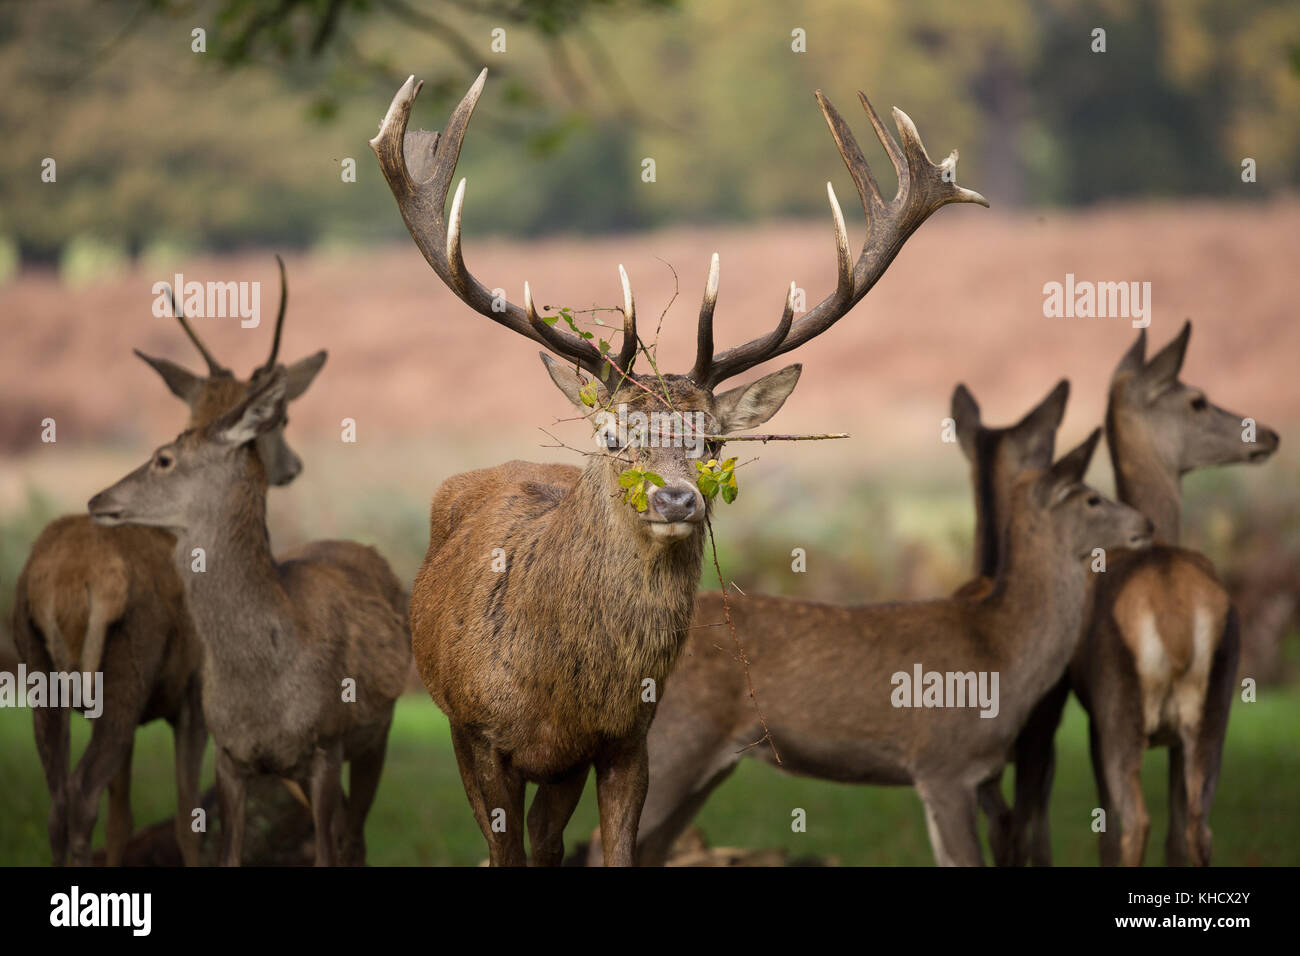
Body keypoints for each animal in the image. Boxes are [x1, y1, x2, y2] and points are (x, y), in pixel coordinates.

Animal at [11, 259, 326, 866]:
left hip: (37, 669)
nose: (294, 466)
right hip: (125, 669)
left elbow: (123, 819)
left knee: (58, 800)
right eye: (283, 418)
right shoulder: (193, 697)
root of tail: (60, 584)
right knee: (79, 795)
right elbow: (185, 817)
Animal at [87, 369, 411, 866]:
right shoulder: (231, 755)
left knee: (353, 840)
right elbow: (230, 856)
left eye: (163, 458)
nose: (97, 499)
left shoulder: (327, 742)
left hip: (376, 733)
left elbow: (325, 855)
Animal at [368, 66, 987, 865]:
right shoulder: (476, 736)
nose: (675, 501)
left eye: (714, 442)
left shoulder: (627, 741)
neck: (555, 693)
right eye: (612, 436)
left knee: (551, 841)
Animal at [1002, 322, 1280, 866]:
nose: (1270, 434)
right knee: (1192, 827)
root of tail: (1176, 625)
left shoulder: (1096, 718)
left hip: (1126, 708)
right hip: (1207, 709)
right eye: (1197, 400)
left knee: (1131, 825)